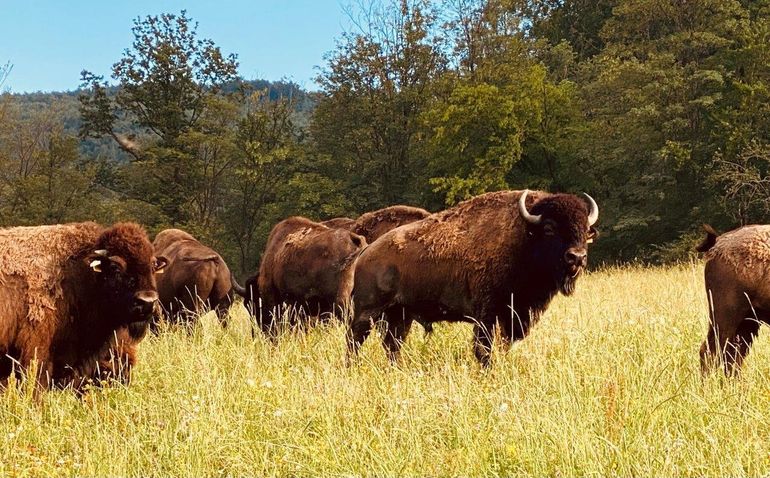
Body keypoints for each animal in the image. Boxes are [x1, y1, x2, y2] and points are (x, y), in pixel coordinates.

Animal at [344, 190, 596, 366]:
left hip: (400, 315)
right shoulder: (487, 314)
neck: (524, 238)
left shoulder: (513, 316)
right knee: (354, 339)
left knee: (392, 344)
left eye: (585, 229)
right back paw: (352, 367)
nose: (577, 257)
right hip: (367, 312)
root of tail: (366, 252)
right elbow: (483, 348)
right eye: (550, 228)